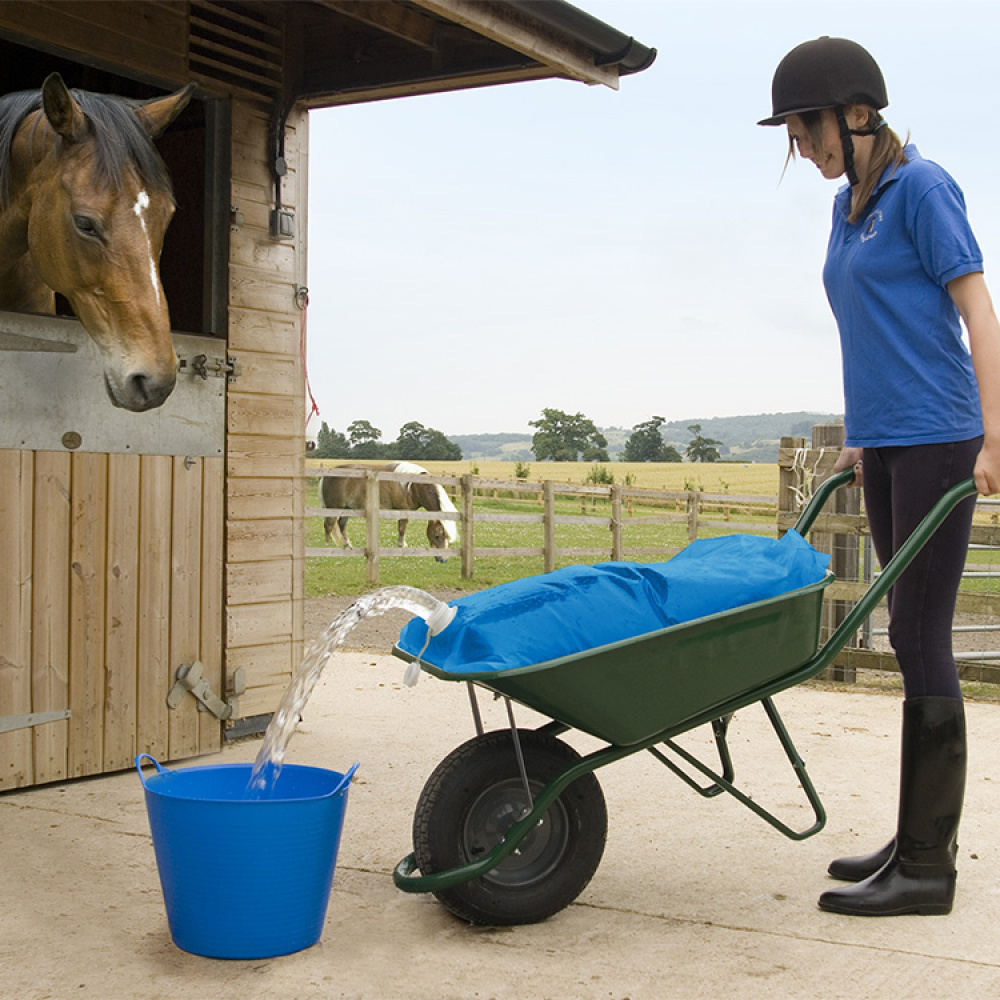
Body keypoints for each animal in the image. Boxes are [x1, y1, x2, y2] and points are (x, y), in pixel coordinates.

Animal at [322, 462, 458, 564]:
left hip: (347, 509)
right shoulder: (404, 510)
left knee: (342, 524)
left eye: (448, 537)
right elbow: (402, 528)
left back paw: (347, 545)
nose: (443, 560)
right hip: (334, 508)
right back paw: (327, 546)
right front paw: (401, 546)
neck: (412, 486)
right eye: (437, 536)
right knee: (328, 525)